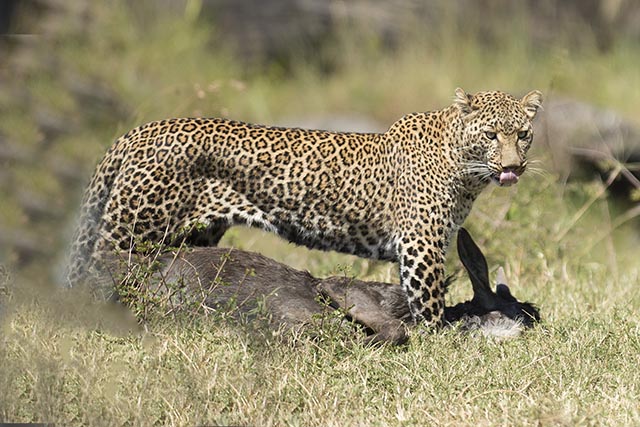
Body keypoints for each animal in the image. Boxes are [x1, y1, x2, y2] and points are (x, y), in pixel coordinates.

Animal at [67, 88, 543, 325]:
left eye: (522, 134)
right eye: (491, 134)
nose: (513, 167)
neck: (464, 168)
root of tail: (138, 132)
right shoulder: (421, 245)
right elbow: (428, 305)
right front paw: (439, 344)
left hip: (192, 236)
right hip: (133, 229)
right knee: (99, 271)